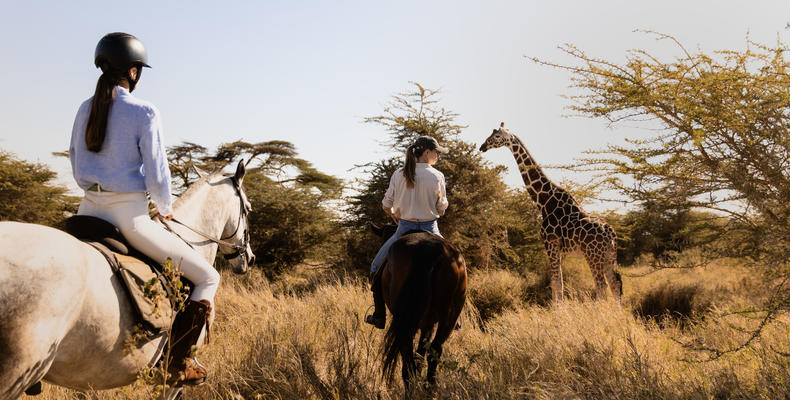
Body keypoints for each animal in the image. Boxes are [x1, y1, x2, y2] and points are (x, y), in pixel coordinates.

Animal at [370, 224, 467, 389]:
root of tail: (429, 248)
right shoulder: (427, 324)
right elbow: (421, 352)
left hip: (405, 321)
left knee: (406, 351)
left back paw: (410, 386)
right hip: (449, 316)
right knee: (435, 349)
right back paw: (430, 387)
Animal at [480, 122, 622, 301]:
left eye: (497, 136)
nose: (482, 146)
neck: (544, 201)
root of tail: (611, 233)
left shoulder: (550, 243)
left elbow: (556, 283)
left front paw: (558, 308)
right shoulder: (557, 247)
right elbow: (557, 282)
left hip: (593, 255)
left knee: (601, 286)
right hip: (609, 256)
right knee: (615, 285)